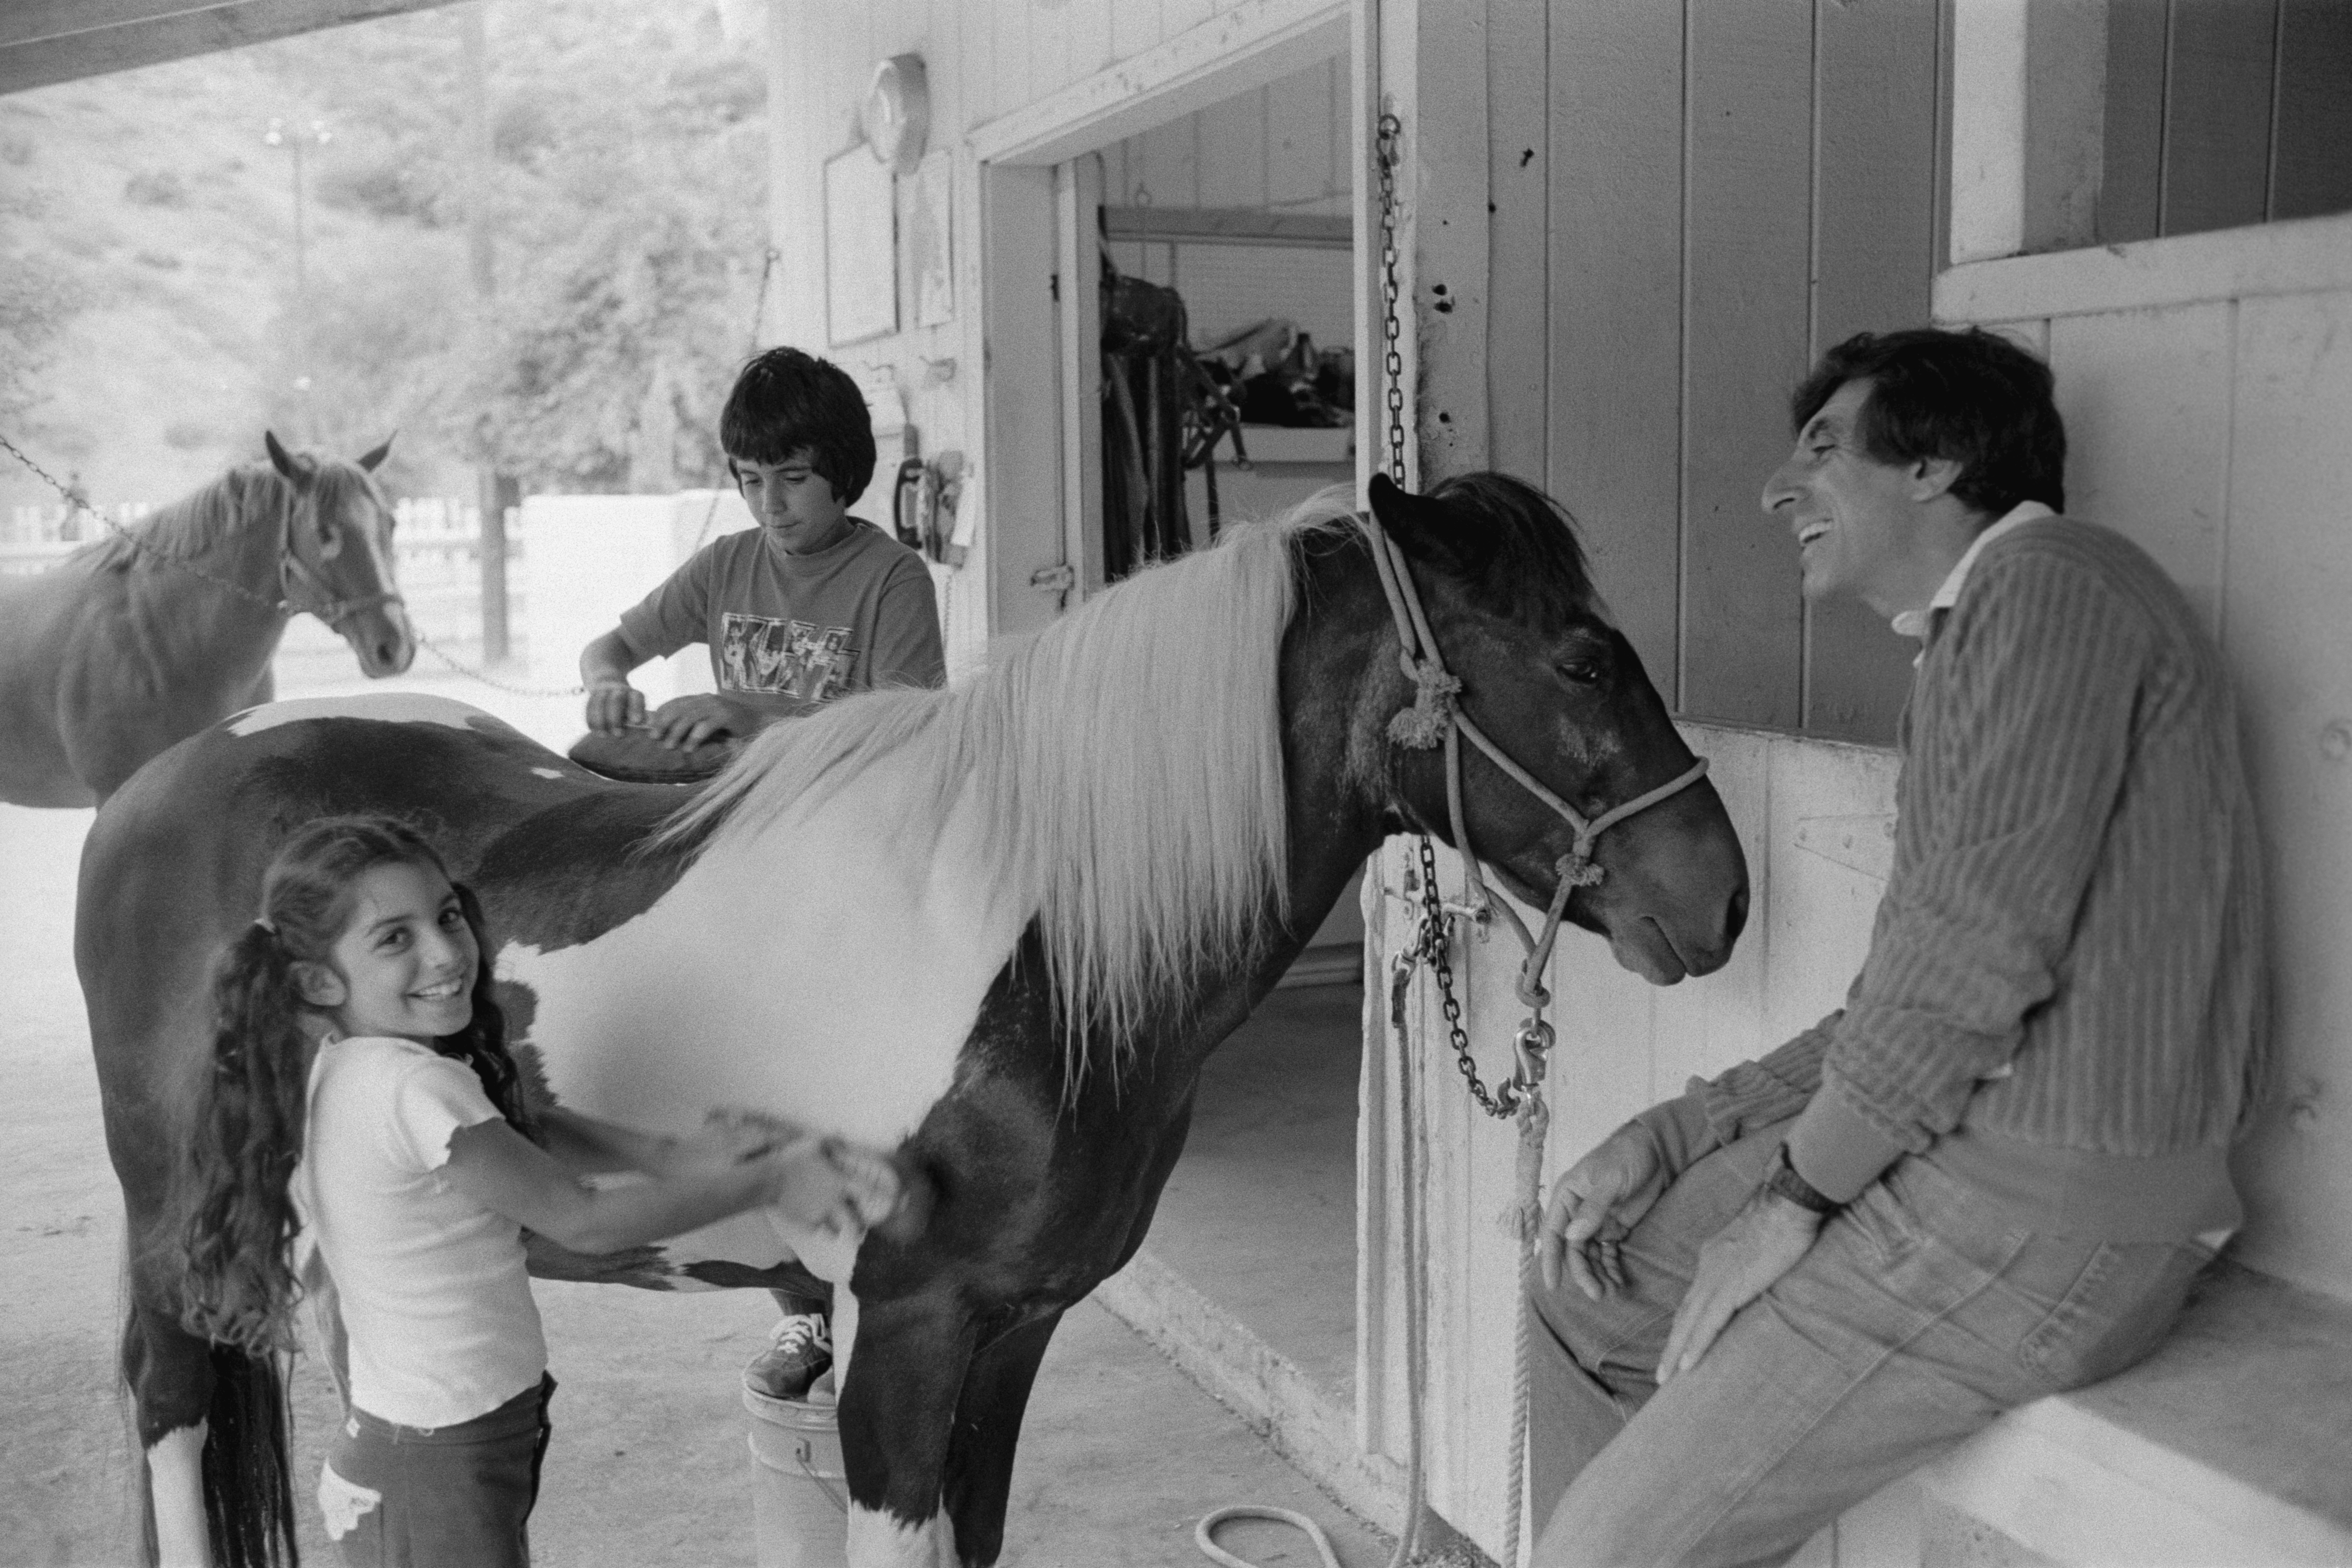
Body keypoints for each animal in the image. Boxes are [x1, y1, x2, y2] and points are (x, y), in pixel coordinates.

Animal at [83, 472, 1750, 1561]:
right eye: (1580, 656)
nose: (1724, 897)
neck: (1025, 943)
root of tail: (156, 781)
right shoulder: (900, 1333)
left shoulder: (1011, 1336)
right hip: (174, 1221)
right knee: (170, 1407)